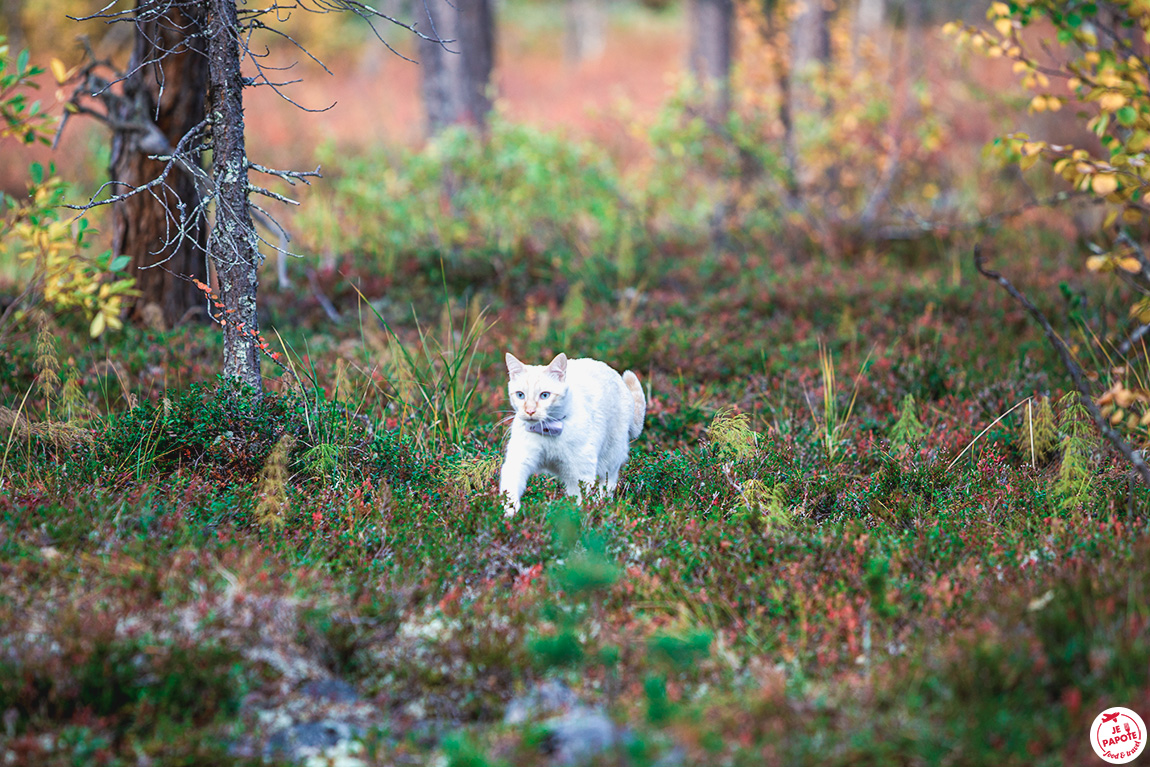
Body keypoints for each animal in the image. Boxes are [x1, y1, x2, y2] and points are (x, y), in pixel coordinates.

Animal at [501, 354, 648, 515]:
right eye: (520, 395)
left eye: (544, 395)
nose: (530, 411)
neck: (548, 430)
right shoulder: (518, 461)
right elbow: (510, 491)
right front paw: (510, 514)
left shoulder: (580, 472)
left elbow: (580, 502)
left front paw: (578, 517)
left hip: (610, 459)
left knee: (607, 484)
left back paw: (602, 506)